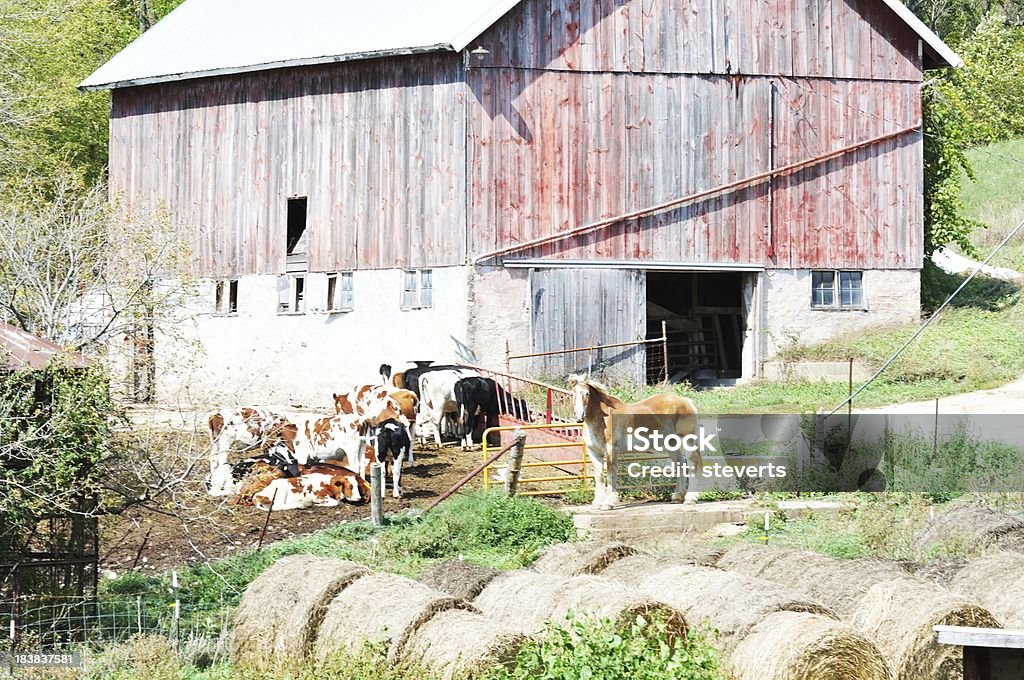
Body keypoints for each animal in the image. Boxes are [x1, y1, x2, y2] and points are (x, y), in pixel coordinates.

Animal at [573, 376, 700, 510]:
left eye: (587, 393)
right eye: (573, 393)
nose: (579, 415)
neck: (602, 419)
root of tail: (687, 401)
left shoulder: (611, 450)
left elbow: (611, 474)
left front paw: (609, 503)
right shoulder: (594, 452)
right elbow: (599, 476)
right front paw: (597, 503)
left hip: (687, 440)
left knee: (693, 463)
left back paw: (690, 499)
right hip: (671, 444)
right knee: (680, 464)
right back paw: (677, 497)